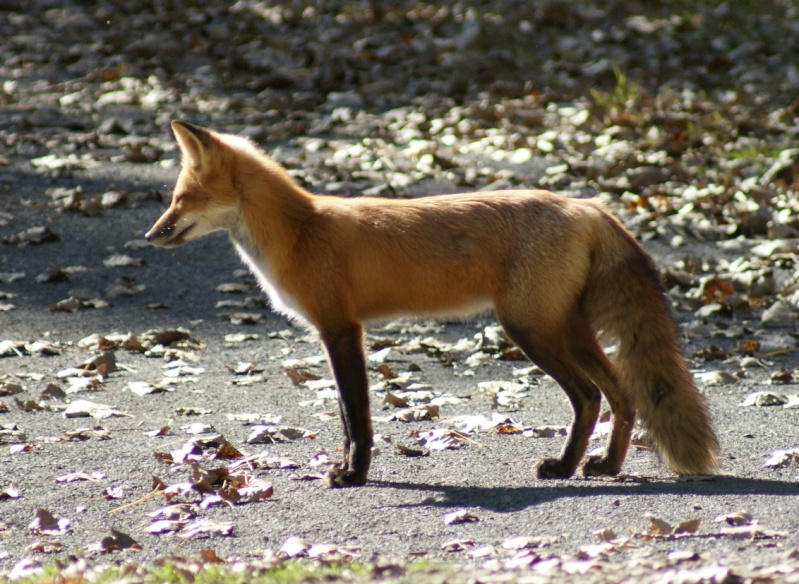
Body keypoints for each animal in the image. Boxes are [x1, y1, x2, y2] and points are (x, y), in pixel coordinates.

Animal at [147, 121, 720, 486]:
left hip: (529, 329)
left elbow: (357, 415)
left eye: (180, 199)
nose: (150, 236)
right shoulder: (336, 332)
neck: (301, 233)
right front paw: (349, 468)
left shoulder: (341, 328)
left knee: (589, 397)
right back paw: (605, 467)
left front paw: (354, 474)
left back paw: (563, 467)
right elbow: (345, 414)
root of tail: (586, 204)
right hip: (568, 329)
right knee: (622, 394)